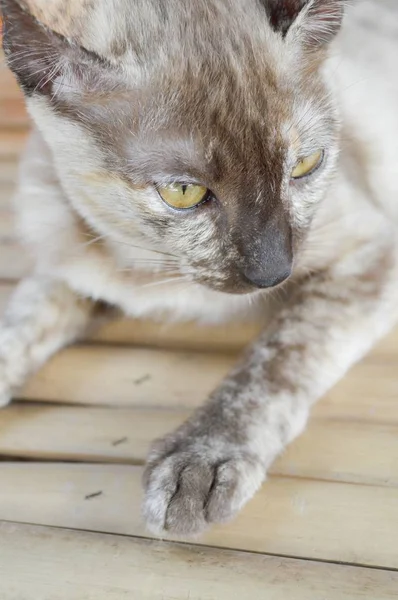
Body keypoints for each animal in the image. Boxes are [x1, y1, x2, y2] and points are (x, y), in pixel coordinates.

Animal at [0, 0, 398, 536]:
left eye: (305, 165)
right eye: (183, 193)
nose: (274, 273)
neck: (150, 271)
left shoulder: (369, 249)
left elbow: (276, 358)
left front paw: (203, 459)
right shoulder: (74, 269)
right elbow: (18, 327)